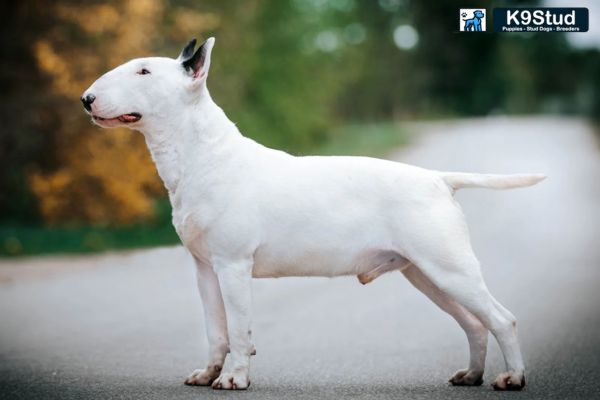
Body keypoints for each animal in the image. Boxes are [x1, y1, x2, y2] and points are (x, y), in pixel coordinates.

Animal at [82, 37, 548, 390]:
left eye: (144, 72)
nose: (86, 99)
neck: (203, 155)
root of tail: (437, 178)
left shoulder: (233, 265)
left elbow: (238, 329)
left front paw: (234, 379)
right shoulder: (205, 269)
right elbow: (216, 330)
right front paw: (208, 374)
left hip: (449, 268)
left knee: (501, 319)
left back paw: (512, 378)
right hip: (425, 273)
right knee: (474, 323)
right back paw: (471, 374)